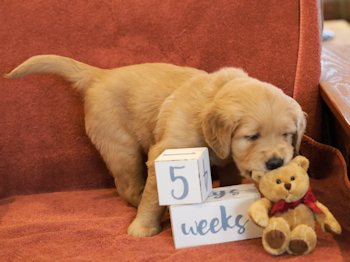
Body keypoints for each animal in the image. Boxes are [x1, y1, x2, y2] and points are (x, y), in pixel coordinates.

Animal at [6, 55, 306, 237]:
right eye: (252, 136)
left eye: (288, 134)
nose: (276, 163)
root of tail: (100, 75)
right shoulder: (164, 152)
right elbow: (153, 194)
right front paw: (142, 228)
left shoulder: (228, 161)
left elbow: (230, 177)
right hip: (121, 149)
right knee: (129, 187)